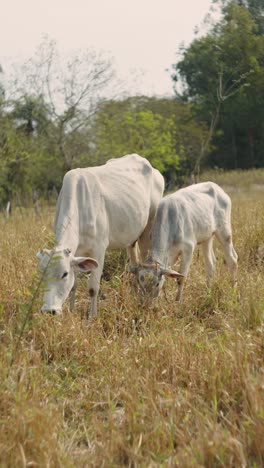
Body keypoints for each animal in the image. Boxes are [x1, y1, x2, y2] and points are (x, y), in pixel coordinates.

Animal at [36, 154, 165, 318]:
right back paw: (133, 295)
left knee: (146, 267)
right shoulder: (77, 254)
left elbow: (93, 288)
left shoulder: (99, 250)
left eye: (64, 274)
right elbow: (74, 286)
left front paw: (92, 317)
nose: (49, 310)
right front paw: (72, 312)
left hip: (148, 231)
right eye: (41, 274)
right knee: (135, 267)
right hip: (131, 237)